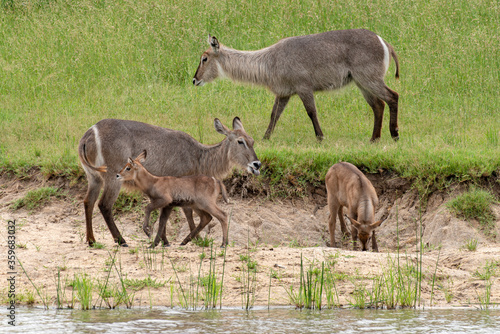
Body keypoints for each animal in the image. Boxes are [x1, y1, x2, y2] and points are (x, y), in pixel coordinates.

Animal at [79, 116, 262, 247]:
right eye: (240, 141)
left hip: (94, 177)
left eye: (252, 141)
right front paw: (196, 239)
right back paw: (121, 240)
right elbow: (186, 212)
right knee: (104, 204)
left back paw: (91, 240)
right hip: (113, 177)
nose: (257, 164)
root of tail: (89, 133)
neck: (198, 156)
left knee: (88, 201)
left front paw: (165, 240)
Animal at [193, 29, 400, 142]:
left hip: (369, 78)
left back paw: (394, 134)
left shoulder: (303, 88)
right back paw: (374, 139)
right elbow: (274, 115)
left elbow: (311, 112)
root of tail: (383, 41)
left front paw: (320, 137)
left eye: (204, 58)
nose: (194, 80)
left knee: (393, 96)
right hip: (361, 82)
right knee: (378, 105)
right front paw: (265, 138)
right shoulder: (284, 93)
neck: (269, 61)